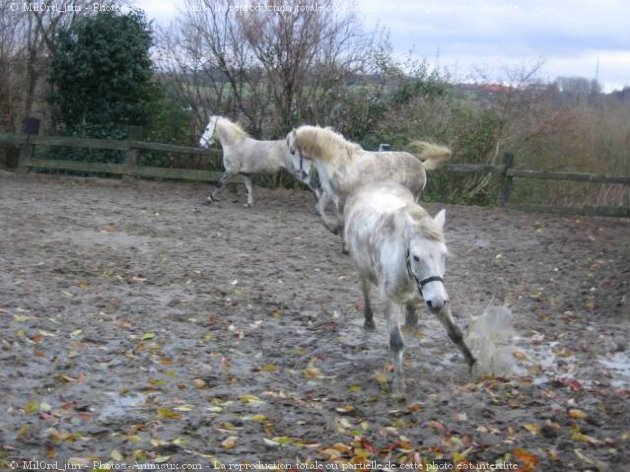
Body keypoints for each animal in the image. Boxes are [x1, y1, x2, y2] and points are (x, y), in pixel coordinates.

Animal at [286, 125, 454, 236]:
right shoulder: (330, 193)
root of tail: (421, 165)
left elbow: (342, 220)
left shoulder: (341, 199)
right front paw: (332, 229)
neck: (337, 161)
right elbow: (319, 209)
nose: (301, 174)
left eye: (293, 151)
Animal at [346, 183, 478, 392]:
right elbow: (396, 342)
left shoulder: (438, 294)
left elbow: (455, 333)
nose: (436, 302)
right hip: (362, 270)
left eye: (444, 255)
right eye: (416, 257)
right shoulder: (390, 300)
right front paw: (399, 384)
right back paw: (369, 320)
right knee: (365, 290)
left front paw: (474, 365)